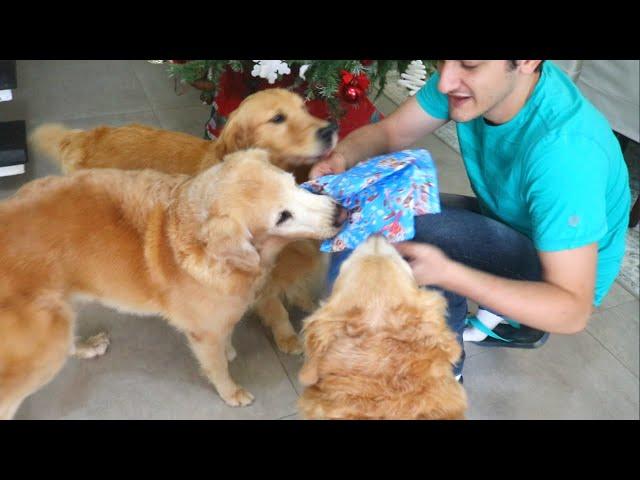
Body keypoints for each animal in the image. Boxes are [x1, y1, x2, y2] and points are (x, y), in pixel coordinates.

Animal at [0, 148, 344, 418]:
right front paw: (231, 392)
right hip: (43, 348)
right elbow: (217, 367)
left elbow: (227, 337)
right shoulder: (203, 333)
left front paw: (230, 349)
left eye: (293, 182)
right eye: (282, 217)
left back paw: (88, 346)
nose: (342, 212)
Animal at [28, 87, 340, 356]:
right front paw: (288, 336)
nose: (331, 128)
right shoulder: (257, 278)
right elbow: (276, 308)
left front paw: (307, 302)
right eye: (277, 118)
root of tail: (85, 137)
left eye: (305, 107)